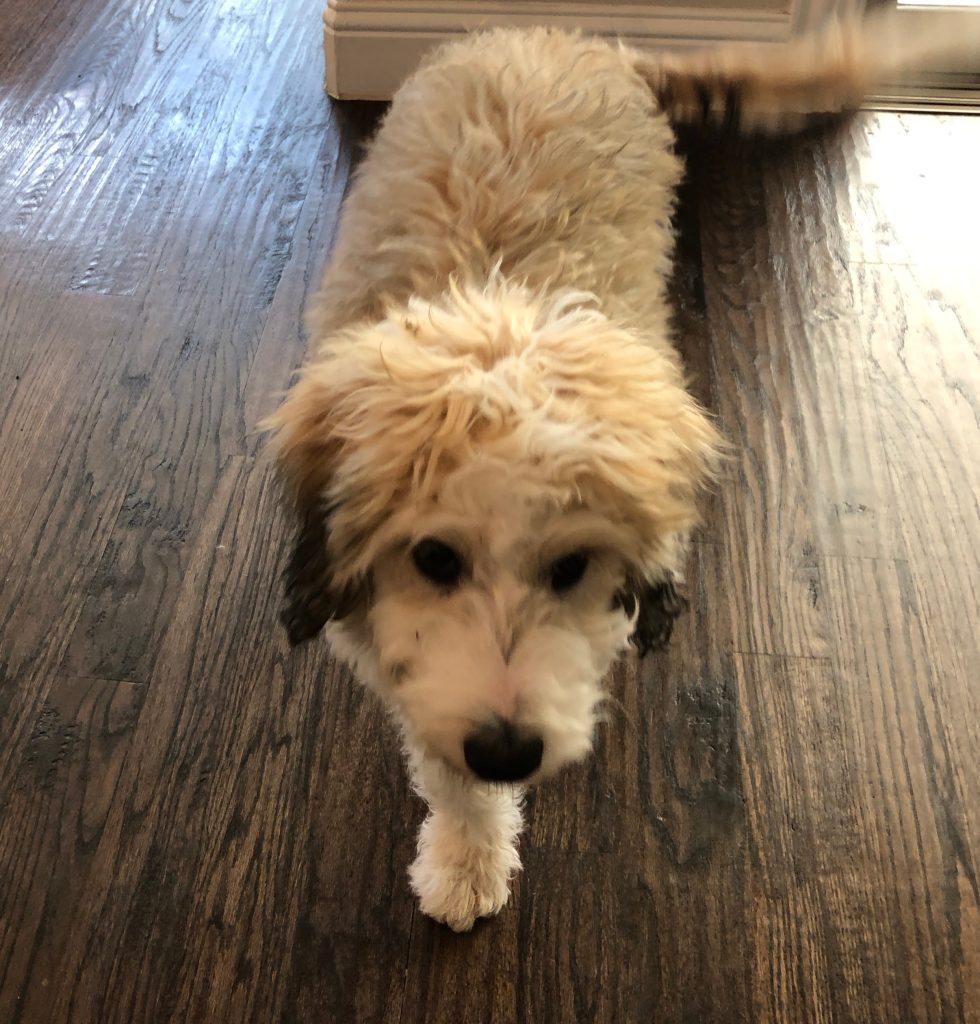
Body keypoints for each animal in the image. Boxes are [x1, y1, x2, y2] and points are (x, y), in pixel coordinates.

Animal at [265, 12, 980, 931]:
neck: (501, 305)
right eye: (434, 558)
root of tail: (572, 36)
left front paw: (470, 851)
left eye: (573, 565)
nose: (509, 751)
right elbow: (443, 752)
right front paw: (467, 851)